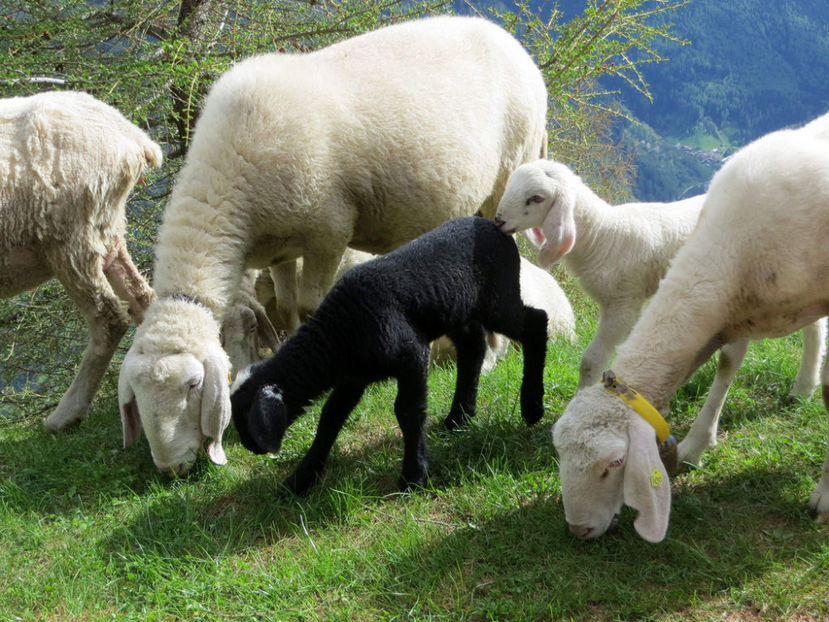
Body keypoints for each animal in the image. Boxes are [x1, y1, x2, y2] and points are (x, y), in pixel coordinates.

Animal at [0, 92, 162, 432]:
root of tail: (131, 137)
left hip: (71, 238)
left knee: (109, 318)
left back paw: (66, 414)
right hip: (108, 233)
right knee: (142, 298)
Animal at [230, 218, 548, 498]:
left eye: (246, 414)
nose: (249, 446)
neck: (336, 334)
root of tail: (495, 226)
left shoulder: (411, 355)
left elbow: (407, 411)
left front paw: (413, 475)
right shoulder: (353, 376)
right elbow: (330, 417)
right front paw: (300, 479)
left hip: (497, 298)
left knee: (536, 322)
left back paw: (531, 407)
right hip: (455, 310)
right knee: (472, 347)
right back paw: (459, 417)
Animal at [548, 114, 829, 544]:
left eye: (615, 463)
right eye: (559, 452)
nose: (579, 530)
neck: (732, 241)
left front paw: (824, 495)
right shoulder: (734, 308)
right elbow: (727, 364)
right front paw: (696, 444)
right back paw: (802, 386)